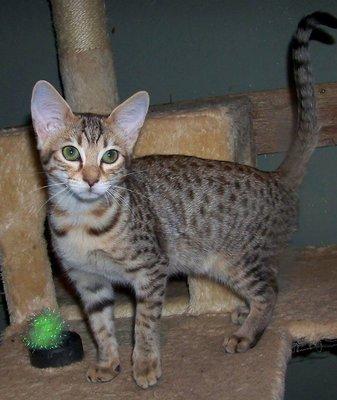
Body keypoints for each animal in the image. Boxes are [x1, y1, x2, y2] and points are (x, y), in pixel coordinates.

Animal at [31, 12, 336, 388]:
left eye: (110, 156)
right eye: (71, 152)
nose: (90, 179)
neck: (82, 219)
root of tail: (275, 177)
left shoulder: (151, 268)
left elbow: (144, 323)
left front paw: (145, 364)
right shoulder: (88, 282)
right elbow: (101, 328)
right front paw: (107, 362)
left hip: (236, 260)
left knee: (270, 291)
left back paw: (247, 334)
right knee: (270, 280)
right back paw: (244, 312)